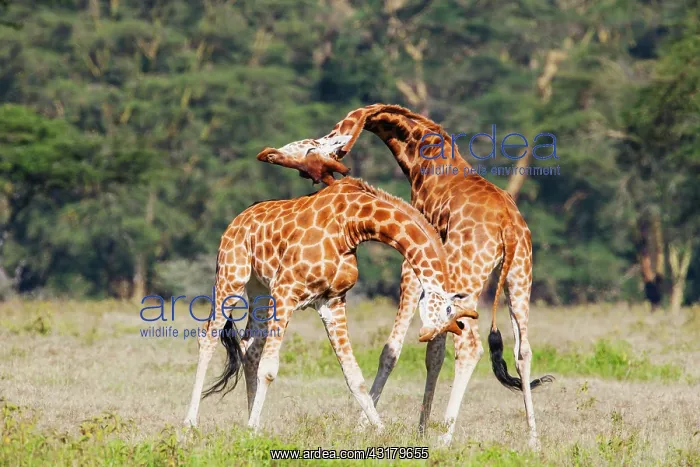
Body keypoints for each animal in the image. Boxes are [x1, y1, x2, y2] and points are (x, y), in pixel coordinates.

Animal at [182, 176, 479, 431]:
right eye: (447, 311)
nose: (425, 335)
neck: (352, 224)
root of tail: (235, 221)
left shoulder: (332, 301)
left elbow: (354, 375)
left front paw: (380, 431)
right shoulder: (286, 289)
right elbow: (270, 369)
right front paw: (252, 432)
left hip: (260, 290)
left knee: (249, 347)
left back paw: (248, 415)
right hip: (232, 276)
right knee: (209, 337)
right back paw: (190, 423)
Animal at [255, 104, 554, 449]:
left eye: (313, 145)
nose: (268, 154)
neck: (424, 163)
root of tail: (507, 226)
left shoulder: (411, 268)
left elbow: (392, 350)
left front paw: (366, 426)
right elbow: (433, 352)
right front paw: (420, 428)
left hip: (467, 276)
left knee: (470, 347)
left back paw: (446, 437)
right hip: (519, 277)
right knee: (523, 350)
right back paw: (533, 441)